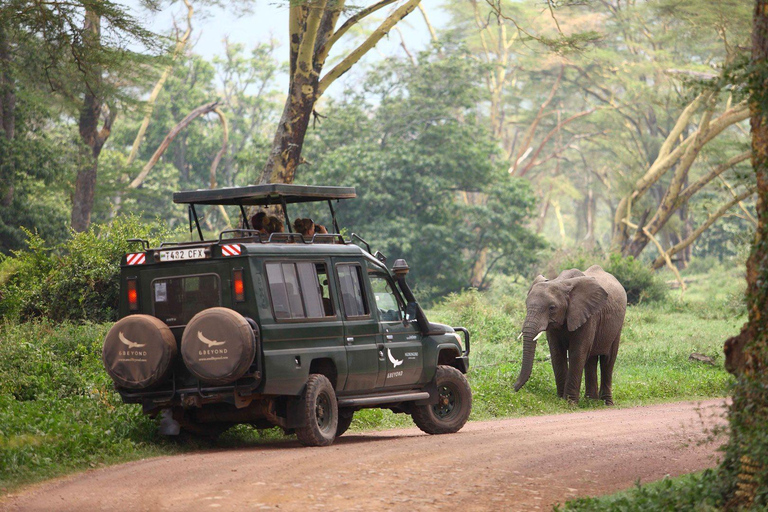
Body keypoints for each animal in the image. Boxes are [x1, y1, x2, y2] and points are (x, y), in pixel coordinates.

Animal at [512, 264, 628, 404]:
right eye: (526, 305)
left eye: (552, 308)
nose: (513, 389)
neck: (561, 282)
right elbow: (557, 352)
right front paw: (560, 400)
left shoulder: (588, 316)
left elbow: (577, 352)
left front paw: (569, 403)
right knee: (591, 359)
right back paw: (591, 401)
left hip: (617, 326)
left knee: (608, 360)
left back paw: (606, 403)